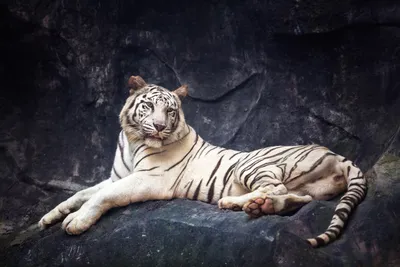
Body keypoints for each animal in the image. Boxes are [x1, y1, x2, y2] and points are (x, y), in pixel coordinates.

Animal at [39, 74, 368, 248]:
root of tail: (337, 155)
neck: (133, 141)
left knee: (276, 188)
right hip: (302, 187)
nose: (159, 126)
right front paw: (49, 217)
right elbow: (81, 193)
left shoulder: (149, 179)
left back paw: (234, 203)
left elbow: (102, 196)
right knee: (296, 198)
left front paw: (75, 222)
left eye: (170, 111)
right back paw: (255, 207)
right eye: (148, 107)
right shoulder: (116, 176)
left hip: (251, 165)